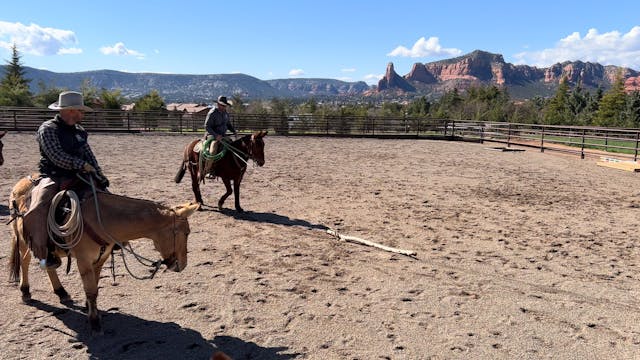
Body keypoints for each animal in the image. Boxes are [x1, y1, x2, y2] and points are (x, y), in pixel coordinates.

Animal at [8, 176, 200, 334]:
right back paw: (25, 291)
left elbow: (95, 285)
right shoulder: (84, 260)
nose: (182, 265)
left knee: (48, 265)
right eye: (187, 233)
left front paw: (90, 309)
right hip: (25, 240)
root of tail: (19, 185)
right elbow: (91, 290)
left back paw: (61, 292)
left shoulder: (101, 258)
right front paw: (94, 323)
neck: (103, 218)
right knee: (25, 262)